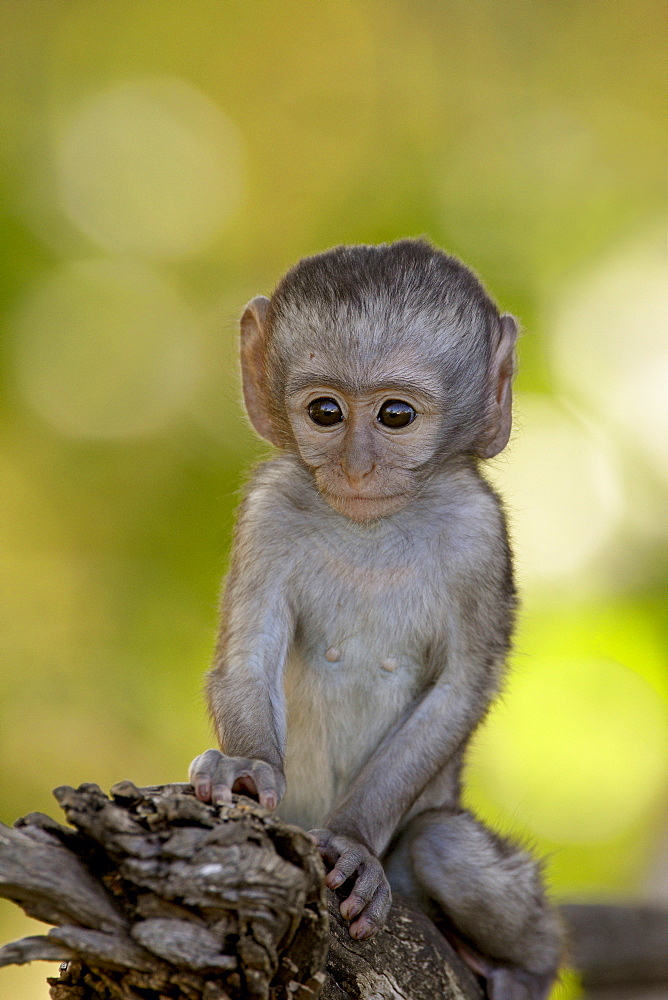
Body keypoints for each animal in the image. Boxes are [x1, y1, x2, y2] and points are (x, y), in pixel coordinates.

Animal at [190, 240, 568, 1000]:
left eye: (394, 416)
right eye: (325, 411)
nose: (356, 466)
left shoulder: (481, 533)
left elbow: (461, 689)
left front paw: (355, 845)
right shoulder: (268, 508)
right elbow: (245, 657)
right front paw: (245, 765)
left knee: (444, 845)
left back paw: (525, 967)